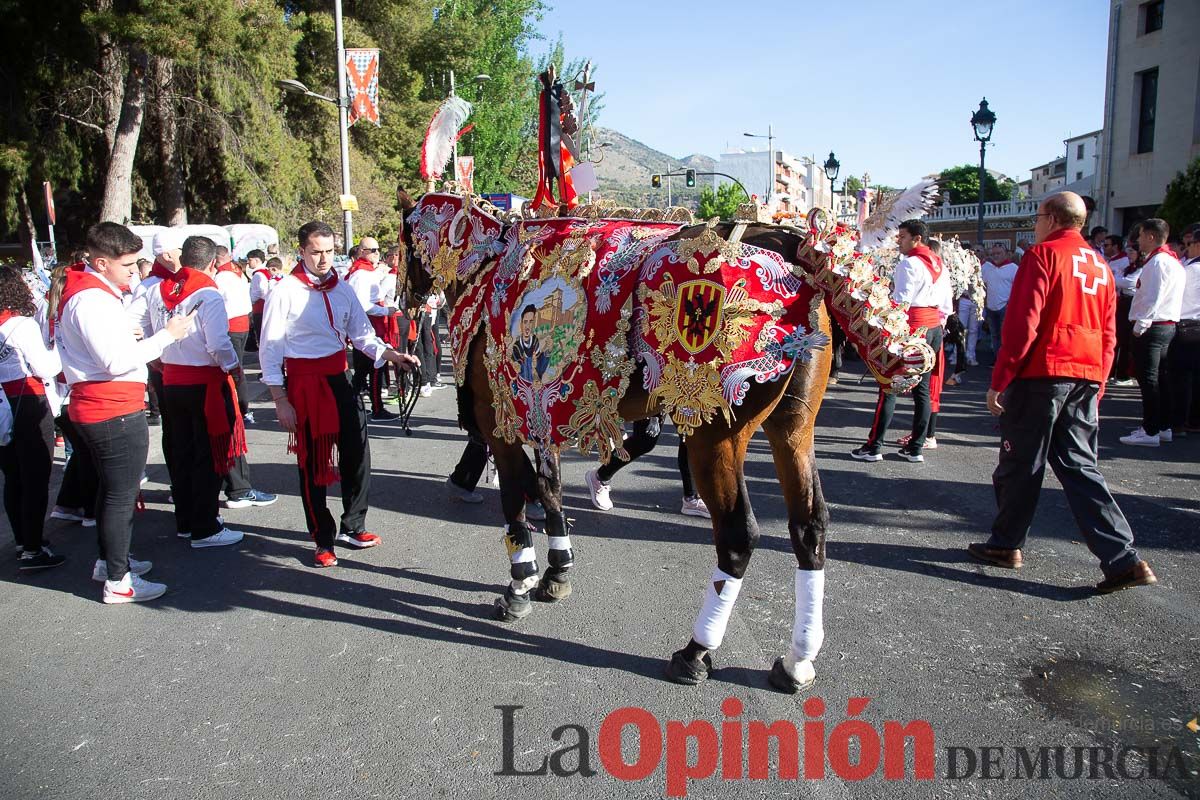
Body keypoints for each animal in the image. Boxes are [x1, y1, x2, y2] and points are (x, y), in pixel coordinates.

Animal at [403, 184, 936, 690]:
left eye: (406, 241)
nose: (410, 298)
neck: (488, 263)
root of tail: (797, 246)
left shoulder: (500, 421)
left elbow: (517, 495)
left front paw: (519, 584)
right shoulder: (536, 407)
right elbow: (549, 488)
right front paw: (556, 569)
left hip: (714, 436)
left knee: (738, 536)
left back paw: (696, 650)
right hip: (793, 429)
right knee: (809, 528)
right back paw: (797, 660)